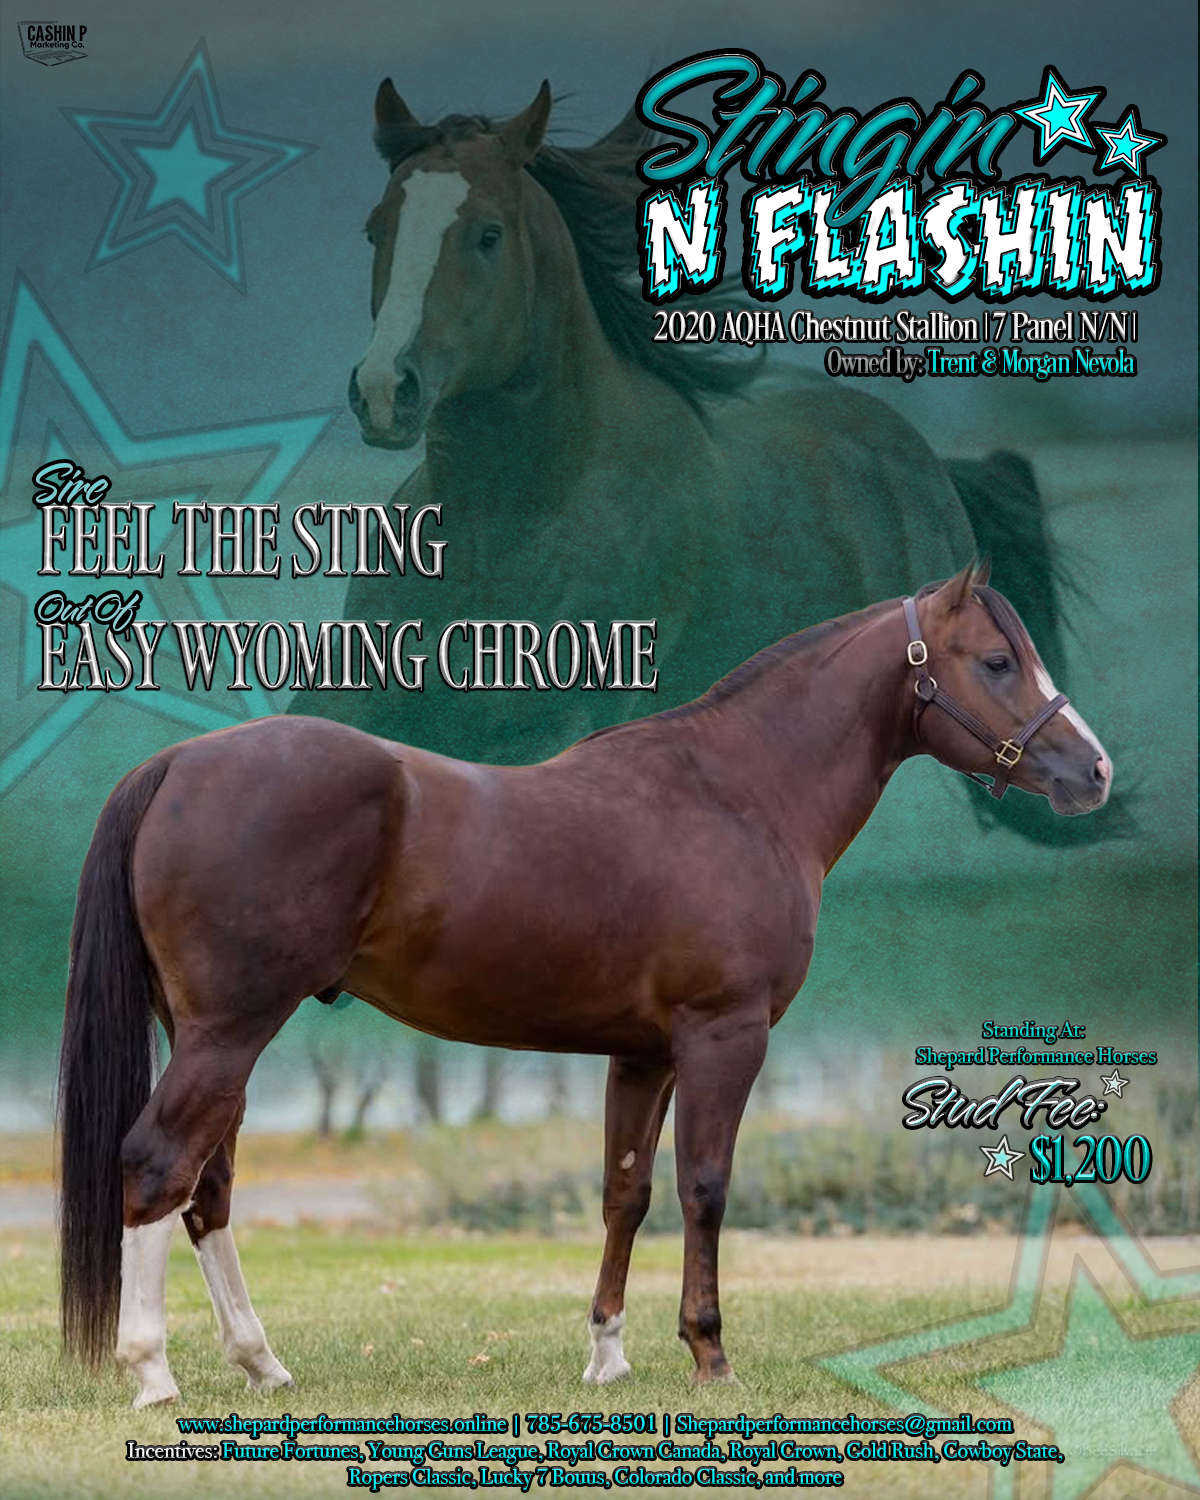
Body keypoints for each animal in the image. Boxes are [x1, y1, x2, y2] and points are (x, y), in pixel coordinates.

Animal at [59, 562, 1112, 1407]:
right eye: (997, 662)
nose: (1093, 771)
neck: (741, 792)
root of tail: (176, 764)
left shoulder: (642, 1056)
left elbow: (624, 1191)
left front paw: (607, 1356)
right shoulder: (724, 1037)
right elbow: (703, 1186)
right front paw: (710, 1356)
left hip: (205, 1035)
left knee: (208, 1189)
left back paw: (261, 1364)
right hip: (229, 1031)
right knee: (157, 1166)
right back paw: (153, 1373)